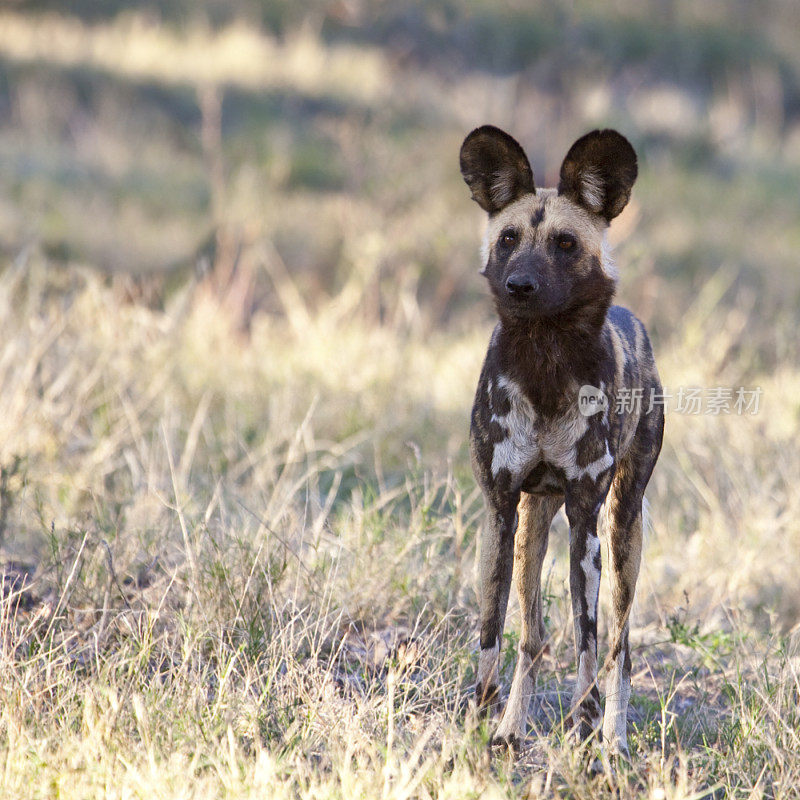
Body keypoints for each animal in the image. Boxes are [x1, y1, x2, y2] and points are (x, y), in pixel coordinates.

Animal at [460, 125, 664, 756]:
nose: (519, 285)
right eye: (508, 238)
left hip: (621, 529)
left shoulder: (584, 516)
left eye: (566, 243)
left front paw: (586, 728)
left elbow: (590, 646)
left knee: (619, 647)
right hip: (532, 525)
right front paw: (479, 722)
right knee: (533, 635)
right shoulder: (500, 510)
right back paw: (509, 727)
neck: (545, 360)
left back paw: (613, 743)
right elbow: (492, 634)